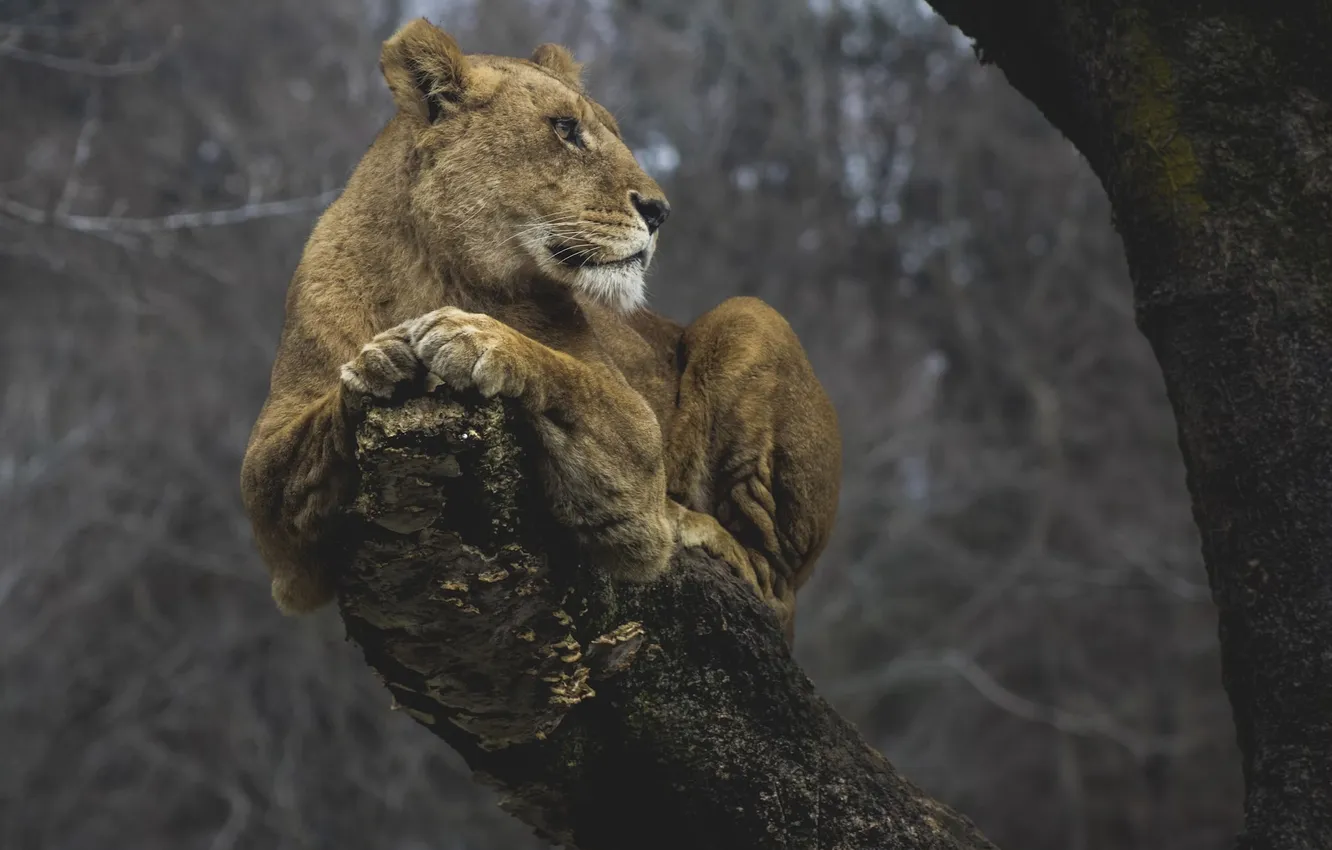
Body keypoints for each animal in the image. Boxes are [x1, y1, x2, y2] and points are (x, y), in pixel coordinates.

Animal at [239, 18, 842, 643]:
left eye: (611, 131)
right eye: (565, 128)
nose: (660, 211)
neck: (438, 268)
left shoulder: (634, 437)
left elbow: (565, 374)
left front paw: (473, 338)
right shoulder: (276, 522)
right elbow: (309, 432)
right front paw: (377, 365)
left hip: (751, 316)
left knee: (772, 579)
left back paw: (691, 524)